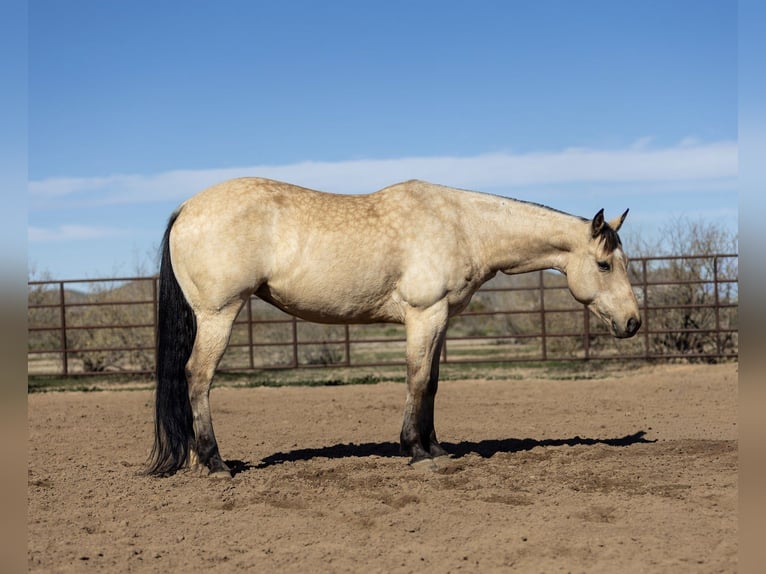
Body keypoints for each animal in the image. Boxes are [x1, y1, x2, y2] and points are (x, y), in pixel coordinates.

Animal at [146, 178, 641, 477]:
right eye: (603, 264)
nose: (633, 322)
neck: (464, 226)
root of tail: (186, 208)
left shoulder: (441, 320)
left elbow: (432, 384)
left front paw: (437, 448)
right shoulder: (425, 315)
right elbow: (416, 379)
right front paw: (416, 452)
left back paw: (197, 461)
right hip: (219, 315)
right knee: (198, 377)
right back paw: (215, 463)